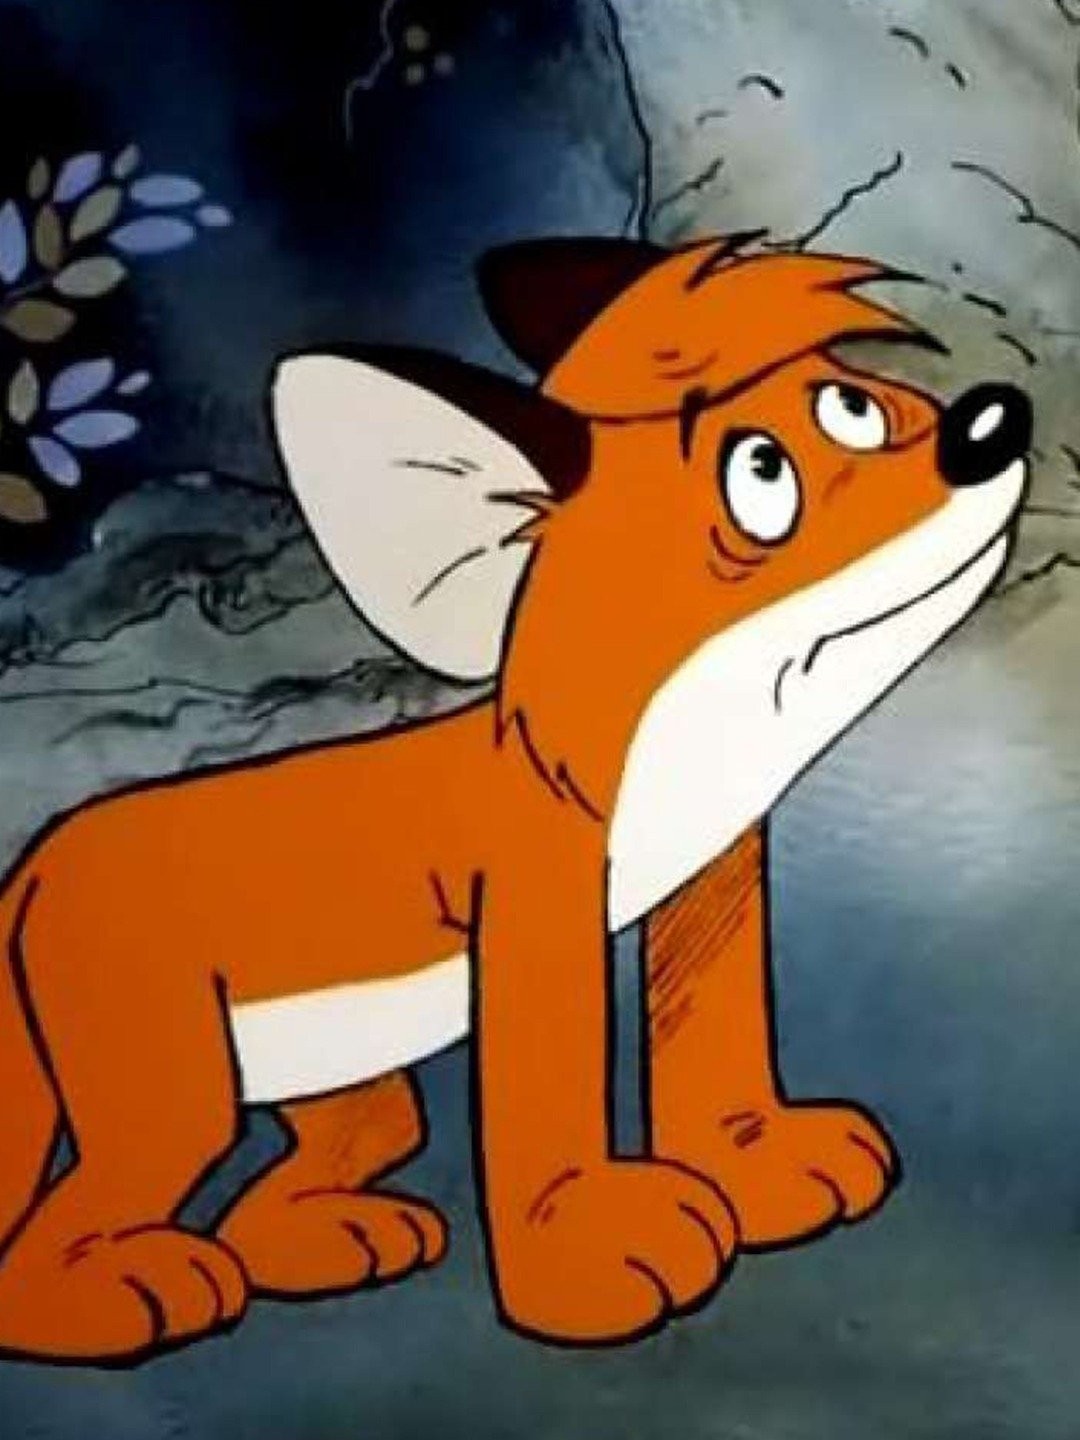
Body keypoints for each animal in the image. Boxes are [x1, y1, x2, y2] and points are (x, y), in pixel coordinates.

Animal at [0, 234, 1032, 1364]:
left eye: (853, 402)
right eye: (762, 476)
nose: (990, 426)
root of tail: (36, 863)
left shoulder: (716, 873)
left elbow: (711, 1037)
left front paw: (754, 1160)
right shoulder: (537, 915)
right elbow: (548, 1103)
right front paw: (582, 1259)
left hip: (344, 1082)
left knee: (321, 1169)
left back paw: (331, 1239)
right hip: (173, 1090)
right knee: (55, 1238)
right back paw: (123, 1291)